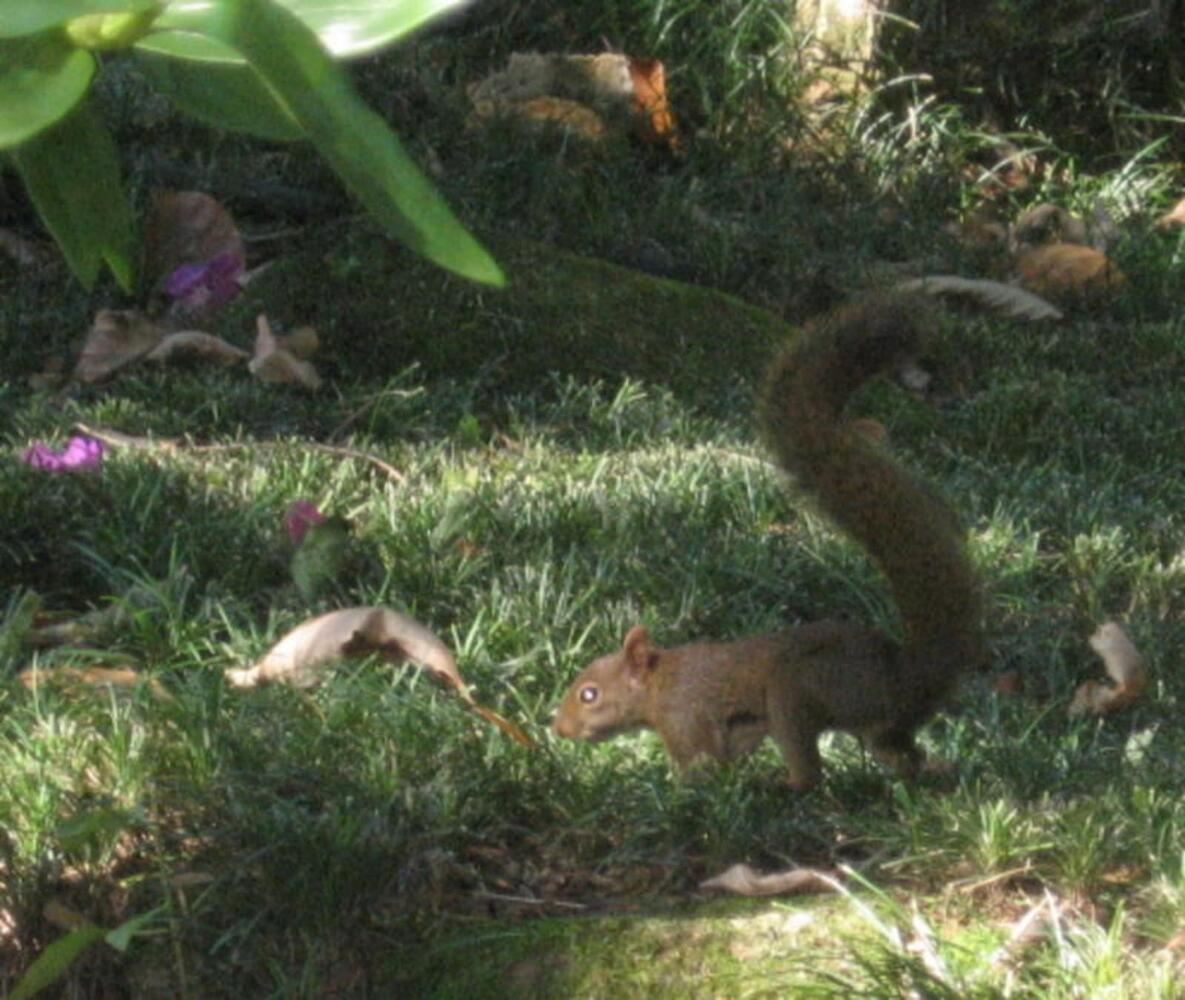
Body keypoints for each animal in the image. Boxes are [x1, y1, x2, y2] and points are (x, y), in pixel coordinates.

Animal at [549, 297, 985, 786]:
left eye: (589, 694)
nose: (558, 729)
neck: (661, 683)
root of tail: (907, 677)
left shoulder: (685, 717)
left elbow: (700, 766)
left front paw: (673, 787)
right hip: (865, 722)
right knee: (900, 753)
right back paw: (933, 769)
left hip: (798, 690)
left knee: (812, 773)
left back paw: (784, 783)